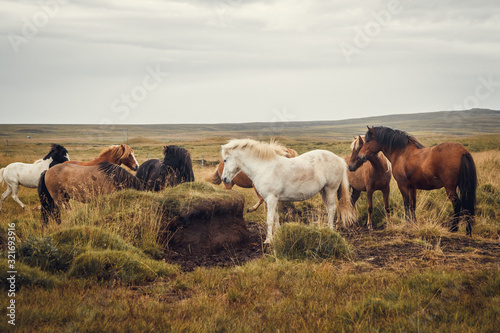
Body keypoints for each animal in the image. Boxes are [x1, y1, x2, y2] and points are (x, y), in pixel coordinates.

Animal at [221, 138, 358, 244]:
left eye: (225, 160)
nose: (224, 179)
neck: (264, 167)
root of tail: (340, 160)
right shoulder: (273, 199)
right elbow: (276, 218)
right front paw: (278, 234)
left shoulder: (271, 199)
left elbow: (269, 219)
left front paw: (268, 240)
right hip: (323, 191)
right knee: (329, 209)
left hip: (330, 190)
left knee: (332, 208)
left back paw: (330, 229)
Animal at [348, 126, 476, 235]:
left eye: (368, 141)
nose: (360, 157)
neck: (401, 152)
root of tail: (463, 151)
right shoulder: (412, 187)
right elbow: (413, 205)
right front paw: (414, 224)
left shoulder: (402, 185)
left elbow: (406, 204)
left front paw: (407, 225)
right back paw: (468, 230)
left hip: (450, 188)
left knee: (457, 204)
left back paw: (453, 228)